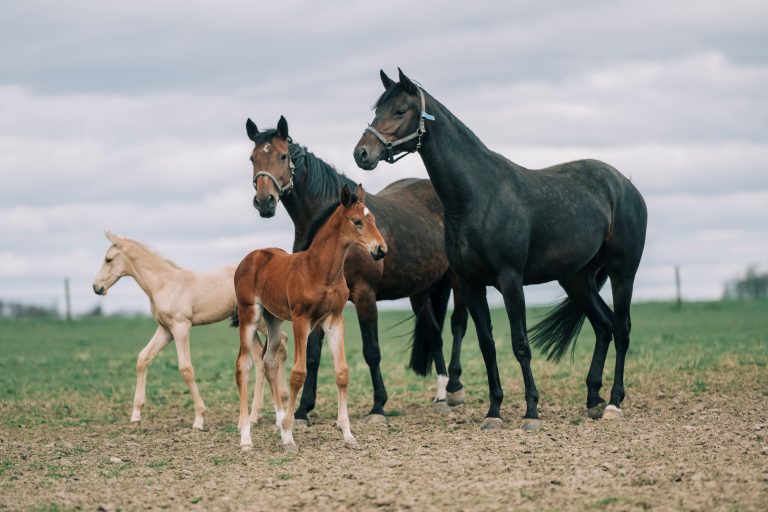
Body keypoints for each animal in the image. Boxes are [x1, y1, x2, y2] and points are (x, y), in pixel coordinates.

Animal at [92, 231, 288, 428]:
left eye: (108, 259)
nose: (96, 287)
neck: (165, 284)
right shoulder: (166, 330)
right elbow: (143, 358)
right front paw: (136, 414)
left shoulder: (181, 327)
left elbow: (185, 368)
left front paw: (199, 418)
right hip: (248, 325)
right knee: (259, 358)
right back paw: (255, 415)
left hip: (261, 321)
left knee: (282, 343)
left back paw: (282, 401)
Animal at [234, 183, 388, 448]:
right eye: (357, 221)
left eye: (374, 220)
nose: (381, 250)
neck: (321, 270)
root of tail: (249, 258)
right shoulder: (301, 319)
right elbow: (299, 373)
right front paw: (290, 430)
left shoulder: (333, 319)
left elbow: (342, 371)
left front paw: (348, 434)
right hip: (250, 315)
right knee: (243, 365)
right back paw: (246, 437)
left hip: (273, 319)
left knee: (269, 362)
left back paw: (278, 423)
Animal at [243, 117, 468, 424]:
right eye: (253, 158)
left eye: (283, 155)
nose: (264, 201)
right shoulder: (315, 301)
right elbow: (313, 354)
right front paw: (303, 409)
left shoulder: (364, 294)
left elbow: (371, 350)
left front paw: (378, 406)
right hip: (419, 290)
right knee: (434, 333)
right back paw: (441, 395)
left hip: (457, 279)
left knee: (458, 324)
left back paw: (455, 388)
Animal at [354, 68, 648, 428]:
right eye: (378, 110)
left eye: (399, 110)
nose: (362, 153)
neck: (479, 195)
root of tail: (625, 185)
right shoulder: (471, 284)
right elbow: (487, 345)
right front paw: (494, 411)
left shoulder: (510, 281)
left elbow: (520, 344)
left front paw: (531, 411)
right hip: (577, 279)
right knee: (603, 326)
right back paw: (593, 399)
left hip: (623, 273)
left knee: (621, 329)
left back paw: (614, 403)